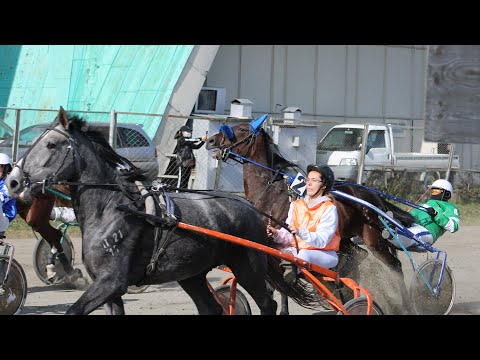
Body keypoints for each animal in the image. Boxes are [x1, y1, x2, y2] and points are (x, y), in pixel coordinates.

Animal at [7, 107, 316, 316]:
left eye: (50, 144)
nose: (13, 181)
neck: (111, 208)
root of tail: (249, 207)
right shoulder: (110, 290)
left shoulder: (111, 283)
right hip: (192, 274)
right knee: (211, 308)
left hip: (247, 266)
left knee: (268, 302)